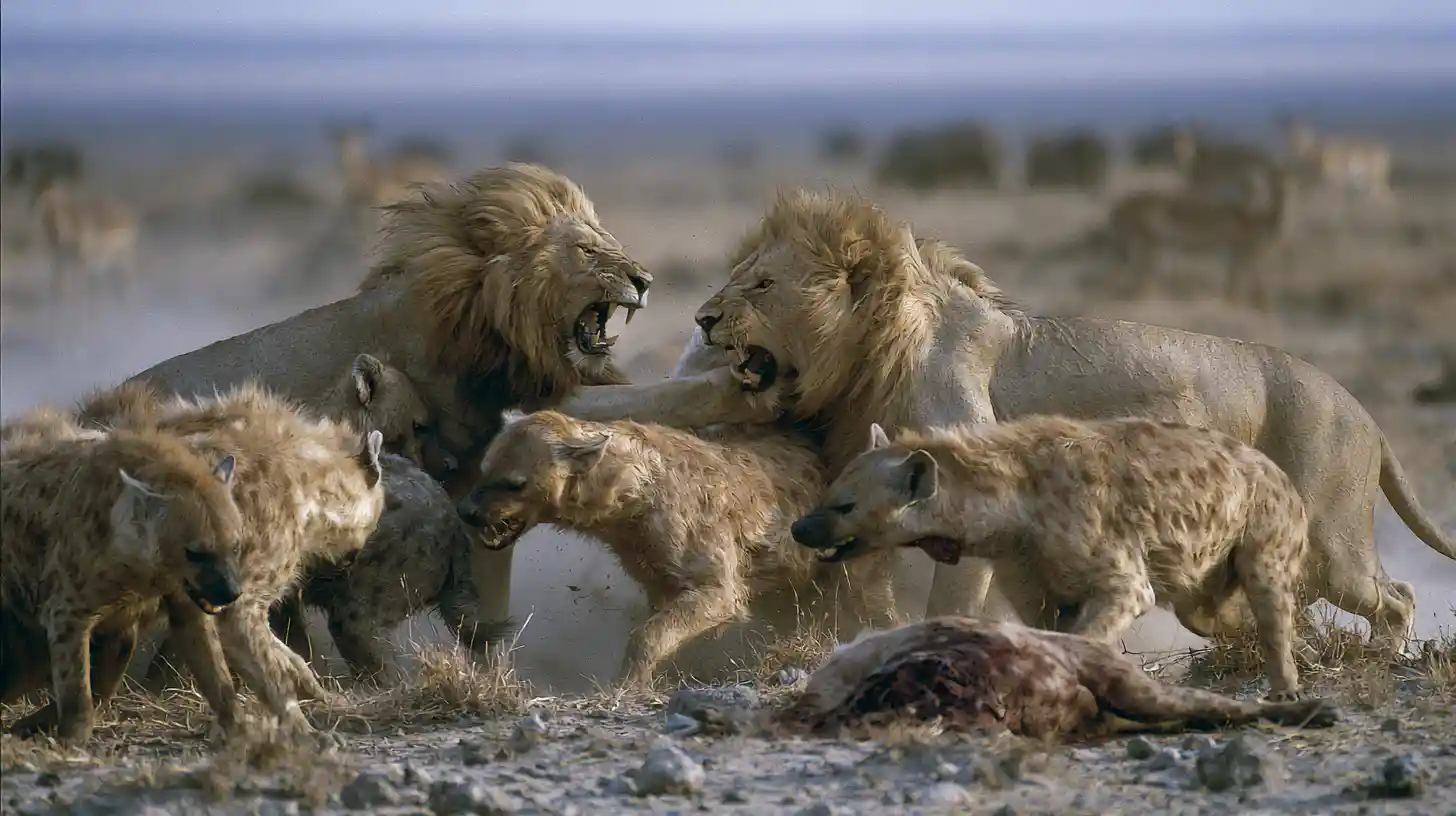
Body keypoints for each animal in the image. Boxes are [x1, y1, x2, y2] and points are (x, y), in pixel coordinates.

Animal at [456, 409, 898, 687]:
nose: (467, 511)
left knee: (870, 599)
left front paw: (626, 686)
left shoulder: (716, 580)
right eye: (484, 470)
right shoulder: (657, 577)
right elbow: (660, 625)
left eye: (514, 483)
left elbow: (651, 633)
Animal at [690, 188, 1451, 650]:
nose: (701, 318)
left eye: (762, 284)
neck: (872, 350)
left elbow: (949, 602)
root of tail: (1367, 416)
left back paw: (1381, 658)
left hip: (1325, 537)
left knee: (1397, 593)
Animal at [793, 418, 1310, 698]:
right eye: (828, 494)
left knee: (1272, 608)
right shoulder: (1031, 578)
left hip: (1267, 534)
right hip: (1201, 593)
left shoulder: (1118, 576)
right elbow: (1047, 630)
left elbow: (1095, 625)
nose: (799, 527)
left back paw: (1286, 688)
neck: (1018, 511)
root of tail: (1284, 477)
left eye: (845, 507)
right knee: (1223, 614)